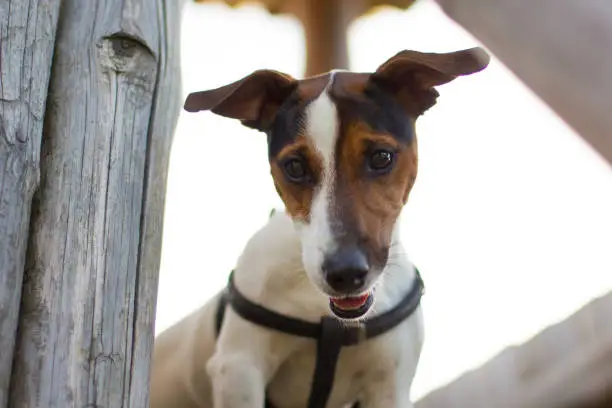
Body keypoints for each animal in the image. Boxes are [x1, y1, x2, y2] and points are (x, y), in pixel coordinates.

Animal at [153, 45, 492, 408]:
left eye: (382, 157)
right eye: (295, 166)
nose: (345, 274)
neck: (328, 320)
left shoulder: (390, 386)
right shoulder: (239, 369)